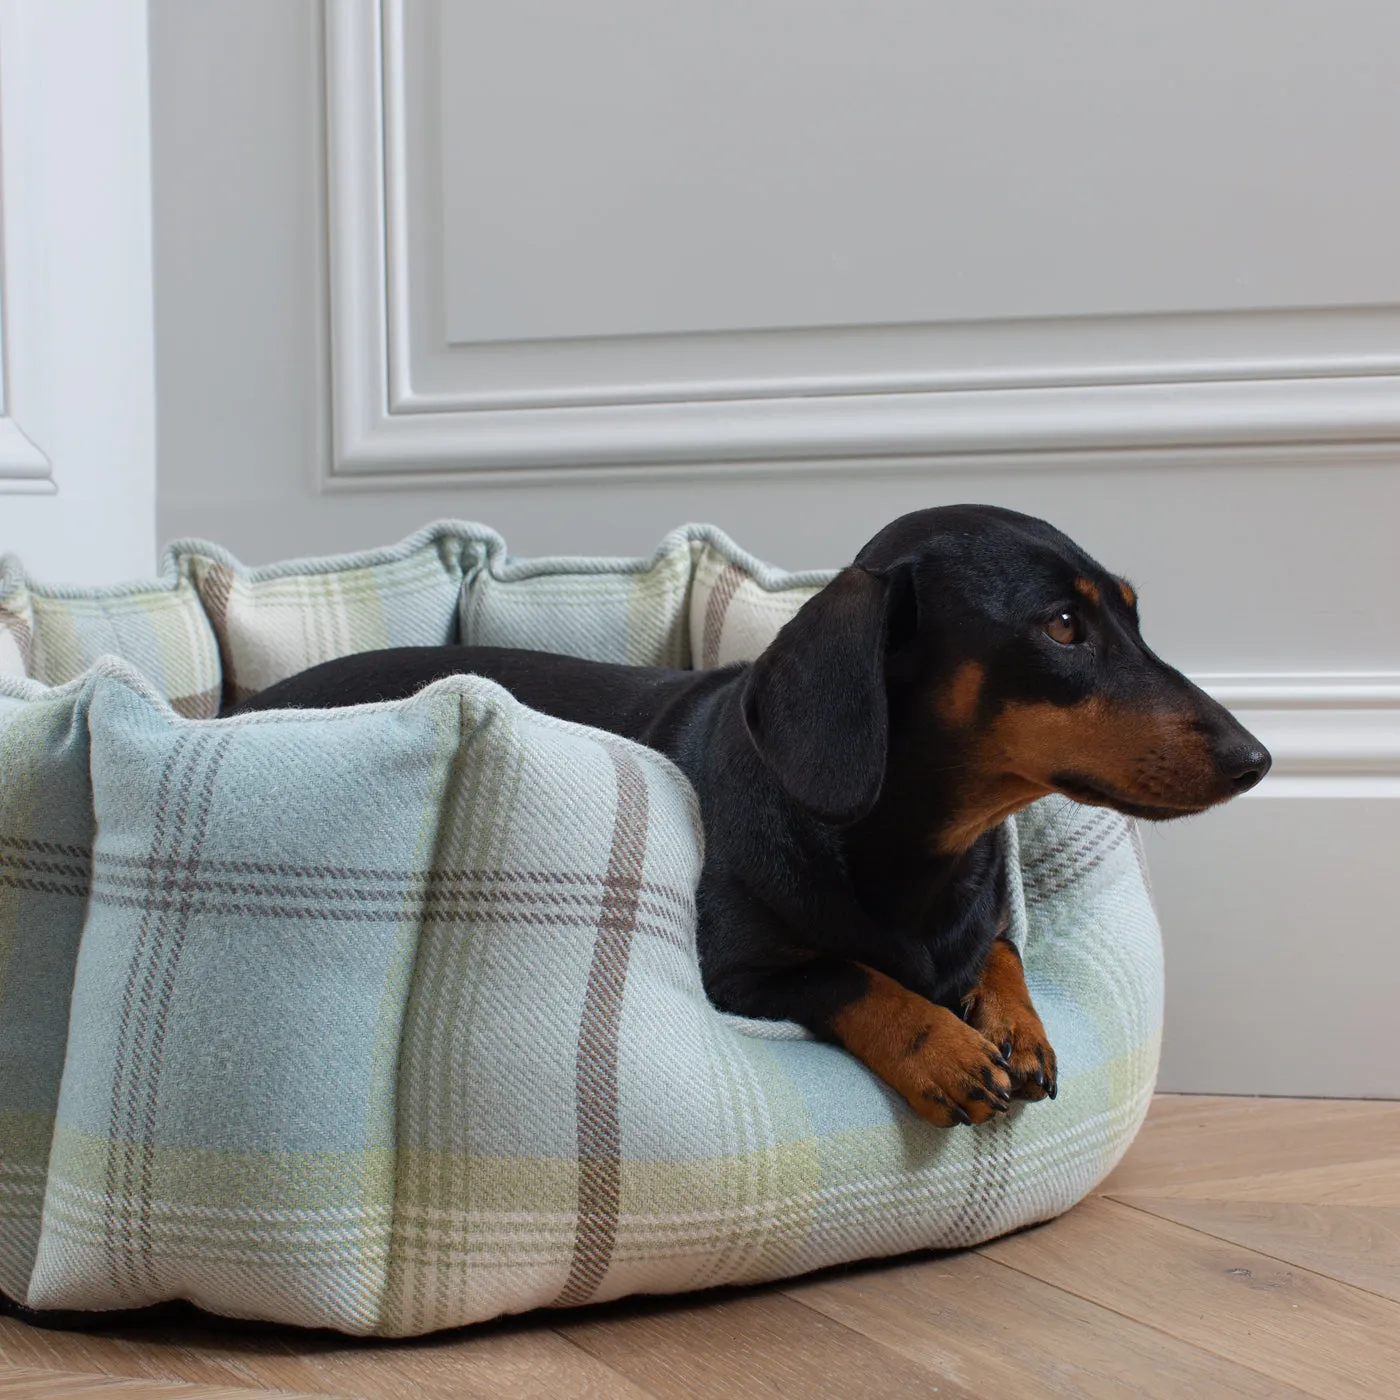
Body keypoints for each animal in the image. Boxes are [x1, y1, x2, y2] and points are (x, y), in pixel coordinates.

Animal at [238, 509, 1271, 1131]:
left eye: (1133, 616)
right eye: (1062, 626)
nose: (1256, 758)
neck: (914, 853)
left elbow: (1002, 949)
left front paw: (1017, 1027)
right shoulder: (735, 971)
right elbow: (847, 973)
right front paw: (941, 1047)